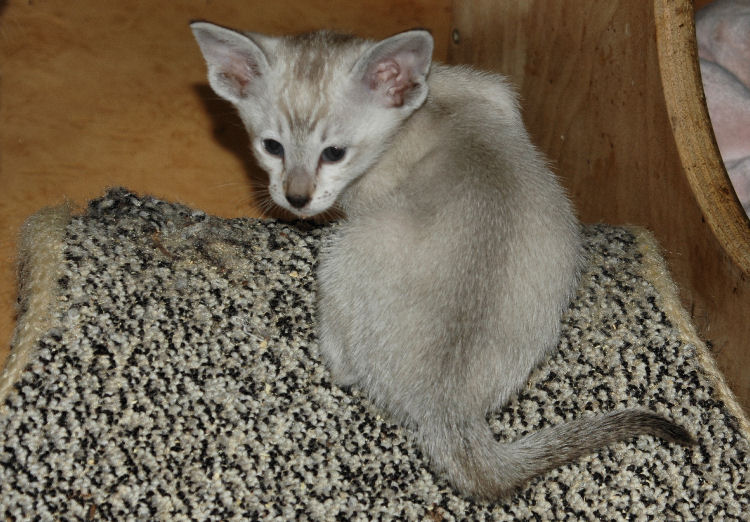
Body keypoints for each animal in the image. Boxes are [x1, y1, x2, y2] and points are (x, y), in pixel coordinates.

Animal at [191, 22, 694, 500]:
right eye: (271, 146)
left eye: (334, 153)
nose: (295, 199)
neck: (422, 112)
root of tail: (445, 406)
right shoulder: (494, 91)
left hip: (341, 254)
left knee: (344, 363)